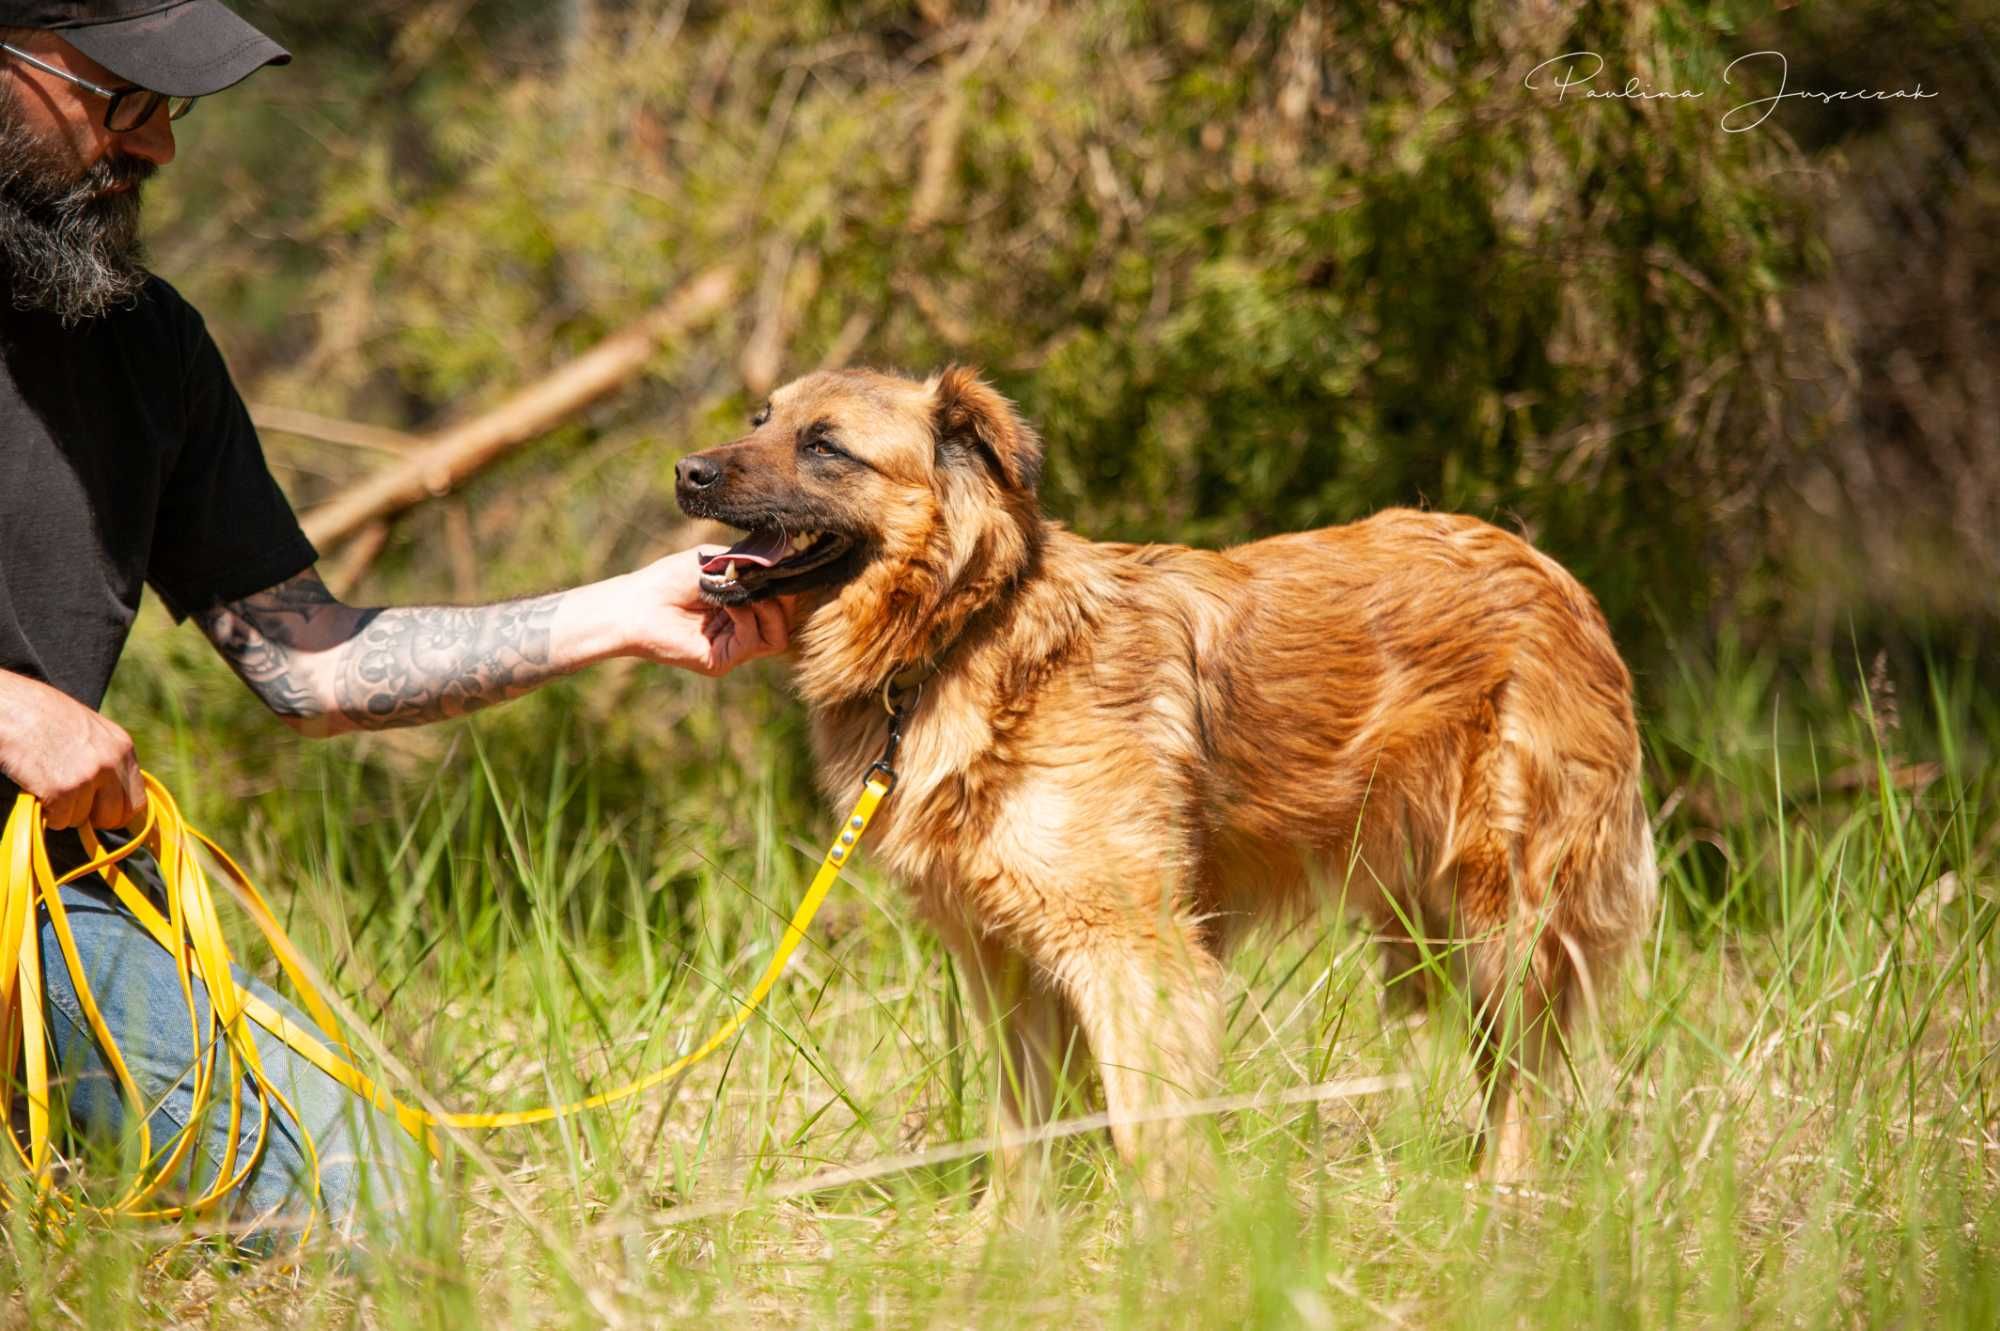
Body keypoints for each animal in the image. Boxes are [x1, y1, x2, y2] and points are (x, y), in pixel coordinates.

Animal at [672, 359, 1656, 1183]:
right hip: (1427, 919)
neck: (963, 632)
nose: (687, 472)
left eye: (824, 445)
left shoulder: (1130, 948)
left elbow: (1149, 1127)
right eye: (762, 419)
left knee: (1524, 1073)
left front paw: (1167, 1256)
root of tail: (1554, 573)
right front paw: (1006, 1248)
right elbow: (1021, 1126)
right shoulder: (1008, 960)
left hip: (1508, 917)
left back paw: (1504, 1199)